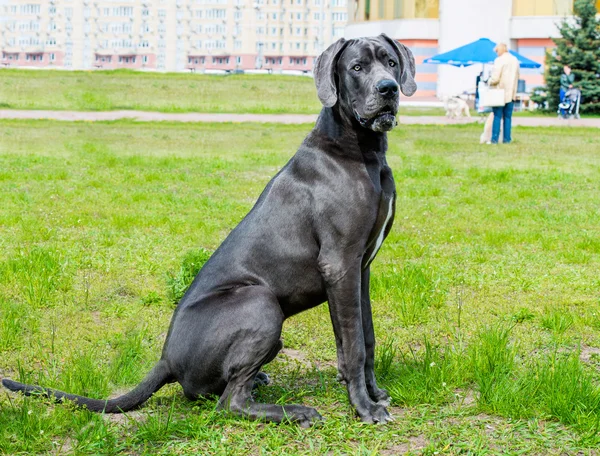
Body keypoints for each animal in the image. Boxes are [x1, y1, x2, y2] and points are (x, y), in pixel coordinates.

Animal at [2, 33, 414, 426]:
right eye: (357, 67)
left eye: (391, 62)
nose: (389, 88)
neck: (362, 150)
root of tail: (166, 360)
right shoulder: (340, 263)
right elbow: (353, 345)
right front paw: (364, 408)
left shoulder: (360, 267)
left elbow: (366, 336)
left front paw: (375, 393)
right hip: (260, 301)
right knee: (230, 403)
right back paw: (295, 411)